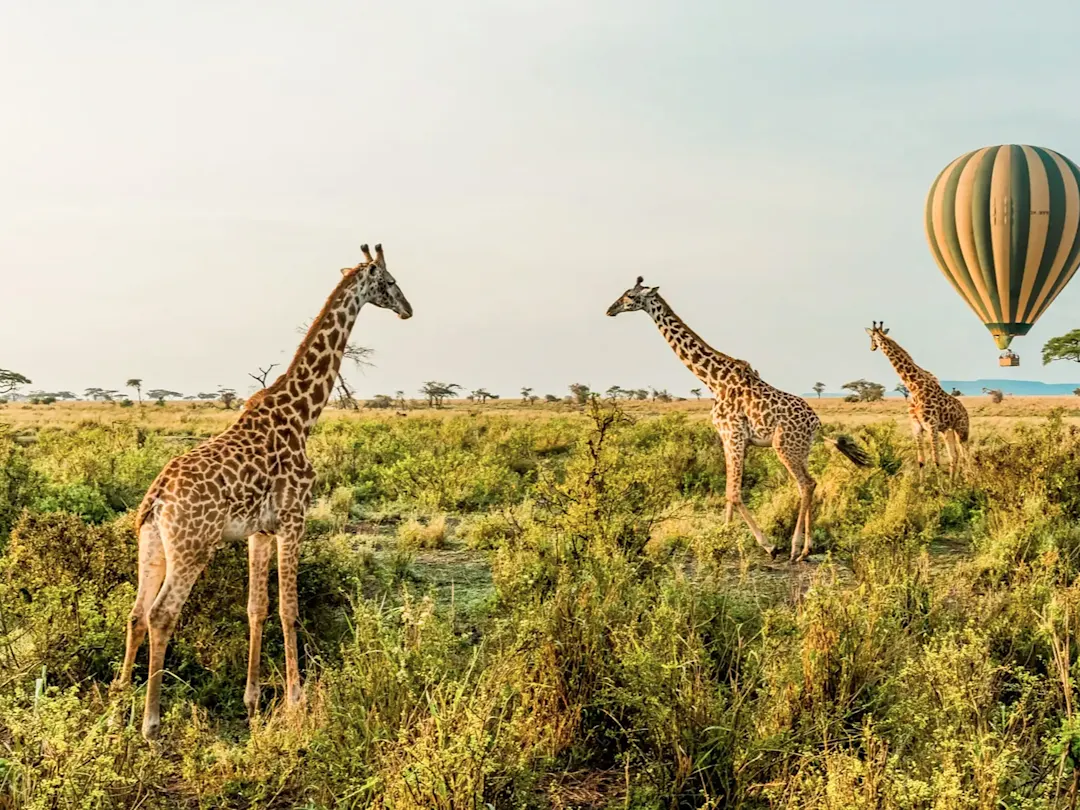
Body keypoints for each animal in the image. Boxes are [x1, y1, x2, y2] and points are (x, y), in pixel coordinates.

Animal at [117, 243, 412, 743]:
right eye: (390, 282)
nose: (409, 309)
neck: (302, 415)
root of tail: (156, 499)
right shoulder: (295, 518)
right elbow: (290, 609)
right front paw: (296, 700)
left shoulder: (259, 531)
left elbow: (257, 608)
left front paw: (252, 700)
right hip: (193, 548)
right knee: (160, 615)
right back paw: (150, 723)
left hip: (152, 545)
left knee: (136, 613)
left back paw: (118, 700)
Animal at [609, 278, 868, 565]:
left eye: (630, 296)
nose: (610, 309)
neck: (712, 380)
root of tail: (817, 424)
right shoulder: (732, 438)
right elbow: (728, 491)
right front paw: (723, 536)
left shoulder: (732, 434)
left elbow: (733, 492)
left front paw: (767, 545)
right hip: (802, 449)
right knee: (812, 483)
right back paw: (806, 549)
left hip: (784, 446)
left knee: (806, 484)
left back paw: (795, 549)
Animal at [868, 319, 972, 479]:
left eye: (871, 338)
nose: (872, 347)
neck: (914, 387)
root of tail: (965, 411)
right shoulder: (917, 427)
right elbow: (921, 461)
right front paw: (922, 485)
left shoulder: (931, 426)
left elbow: (936, 460)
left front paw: (938, 485)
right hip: (947, 431)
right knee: (954, 456)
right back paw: (953, 482)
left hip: (962, 429)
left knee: (966, 455)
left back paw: (970, 479)